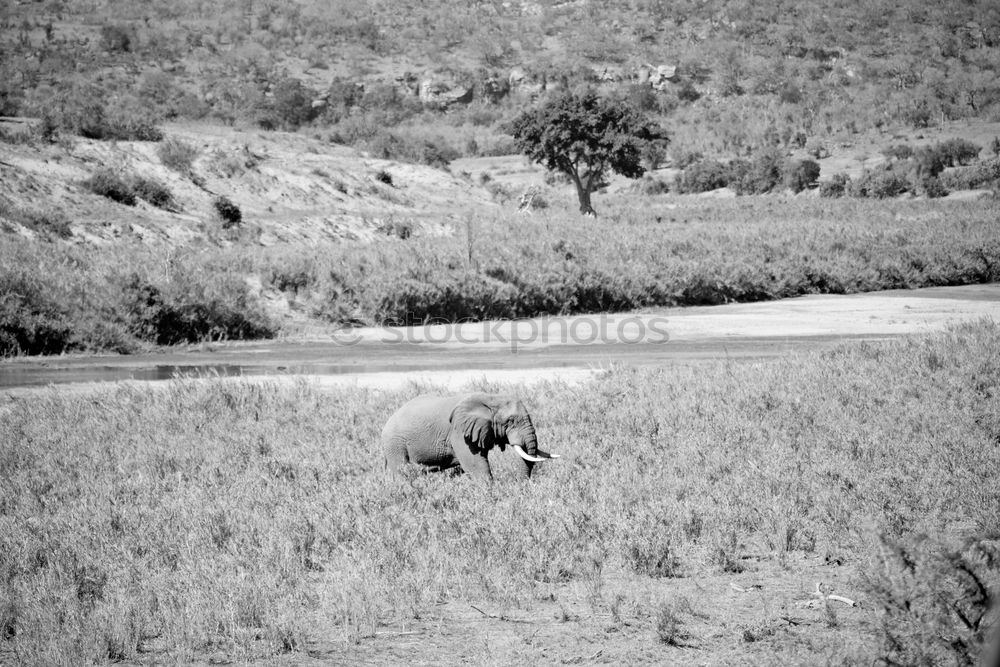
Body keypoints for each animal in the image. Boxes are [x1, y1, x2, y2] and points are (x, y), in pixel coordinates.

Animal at [380, 392, 560, 480]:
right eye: (510, 421)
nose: (521, 484)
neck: (491, 398)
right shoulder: (459, 431)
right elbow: (475, 465)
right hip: (395, 443)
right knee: (400, 471)